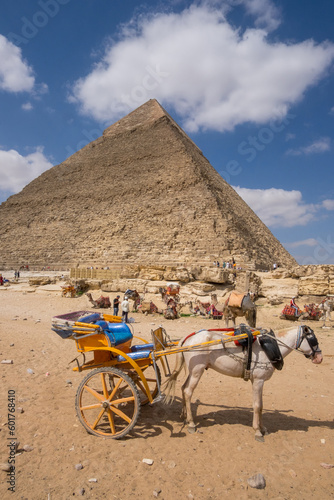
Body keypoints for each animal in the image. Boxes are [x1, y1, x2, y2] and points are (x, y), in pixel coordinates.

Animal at [163, 326, 322, 440]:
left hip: (193, 371)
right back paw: (191, 423)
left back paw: (184, 416)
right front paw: (257, 431)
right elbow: (257, 406)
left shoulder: (260, 381)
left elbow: (261, 405)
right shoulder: (258, 381)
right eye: (313, 339)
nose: (319, 358)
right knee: (188, 391)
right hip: (197, 370)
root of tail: (187, 339)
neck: (271, 346)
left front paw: (263, 428)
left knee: (183, 388)